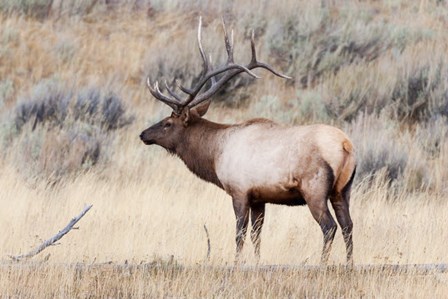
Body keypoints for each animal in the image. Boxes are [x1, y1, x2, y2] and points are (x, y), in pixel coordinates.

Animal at [140, 18, 356, 264]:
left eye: (167, 122)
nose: (143, 134)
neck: (215, 154)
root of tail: (345, 145)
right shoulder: (259, 197)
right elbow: (256, 235)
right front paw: (257, 261)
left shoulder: (239, 191)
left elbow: (240, 234)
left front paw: (236, 263)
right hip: (343, 190)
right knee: (348, 225)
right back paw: (349, 264)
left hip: (315, 189)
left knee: (329, 227)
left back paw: (323, 263)